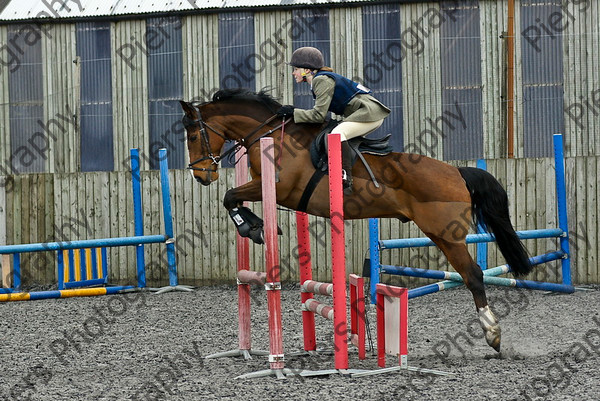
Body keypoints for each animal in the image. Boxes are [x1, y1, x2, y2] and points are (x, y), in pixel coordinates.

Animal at [180, 89, 532, 352]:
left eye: (194, 135)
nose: (201, 176)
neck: (271, 136)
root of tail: (457, 172)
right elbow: (233, 197)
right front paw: (257, 225)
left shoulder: (278, 187)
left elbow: (230, 196)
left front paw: (251, 227)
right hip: (441, 234)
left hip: (446, 234)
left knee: (473, 274)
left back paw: (492, 333)